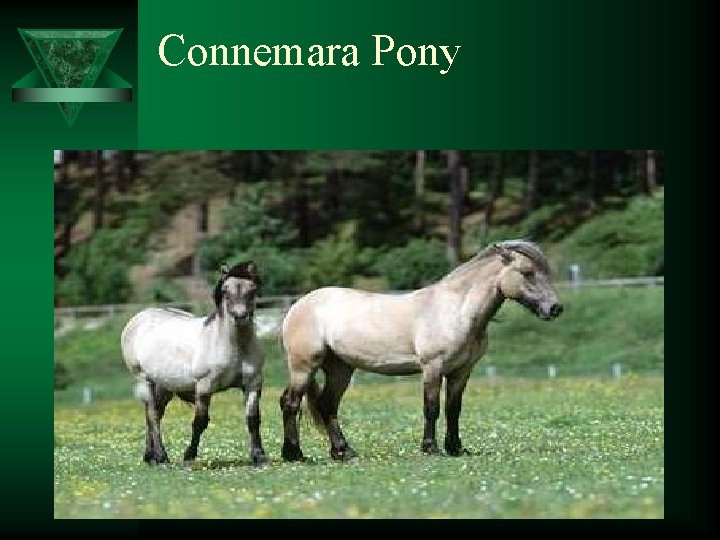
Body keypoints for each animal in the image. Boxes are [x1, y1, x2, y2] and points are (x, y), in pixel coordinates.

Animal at [120, 262, 267, 466]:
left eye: (252, 290)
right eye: (225, 290)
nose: (240, 316)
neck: (233, 346)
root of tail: (138, 319)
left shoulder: (253, 384)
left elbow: (253, 419)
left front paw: (259, 456)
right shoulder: (204, 387)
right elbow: (200, 421)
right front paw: (189, 455)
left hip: (164, 386)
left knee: (155, 414)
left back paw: (150, 457)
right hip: (145, 380)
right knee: (153, 416)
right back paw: (162, 457)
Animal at [279, 240, 563, 461]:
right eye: (527, 272)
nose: (555, 309)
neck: (456, 311)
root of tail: (298, 305)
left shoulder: (461, 372)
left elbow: (453, 409)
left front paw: (456, 448)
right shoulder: (432, 367)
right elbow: (432, 408)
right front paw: (430, 448)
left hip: (340, 369)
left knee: (327, 406)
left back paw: (343, 452)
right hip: (304, 366)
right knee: (291, 403)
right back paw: (294, 454)